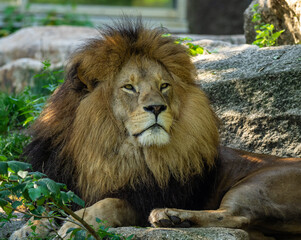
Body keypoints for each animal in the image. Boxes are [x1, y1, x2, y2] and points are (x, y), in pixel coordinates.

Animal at [10, 18, 300, 240]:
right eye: (129, 87)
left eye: (164, 86)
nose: (157, 107)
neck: (107, 150)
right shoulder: (58, 180)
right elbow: (48, 203)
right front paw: (29, 228)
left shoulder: (143, 199)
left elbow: (108, 203)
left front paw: (76, 223)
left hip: (257, 183)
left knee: (236, 217)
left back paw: (169, 215)